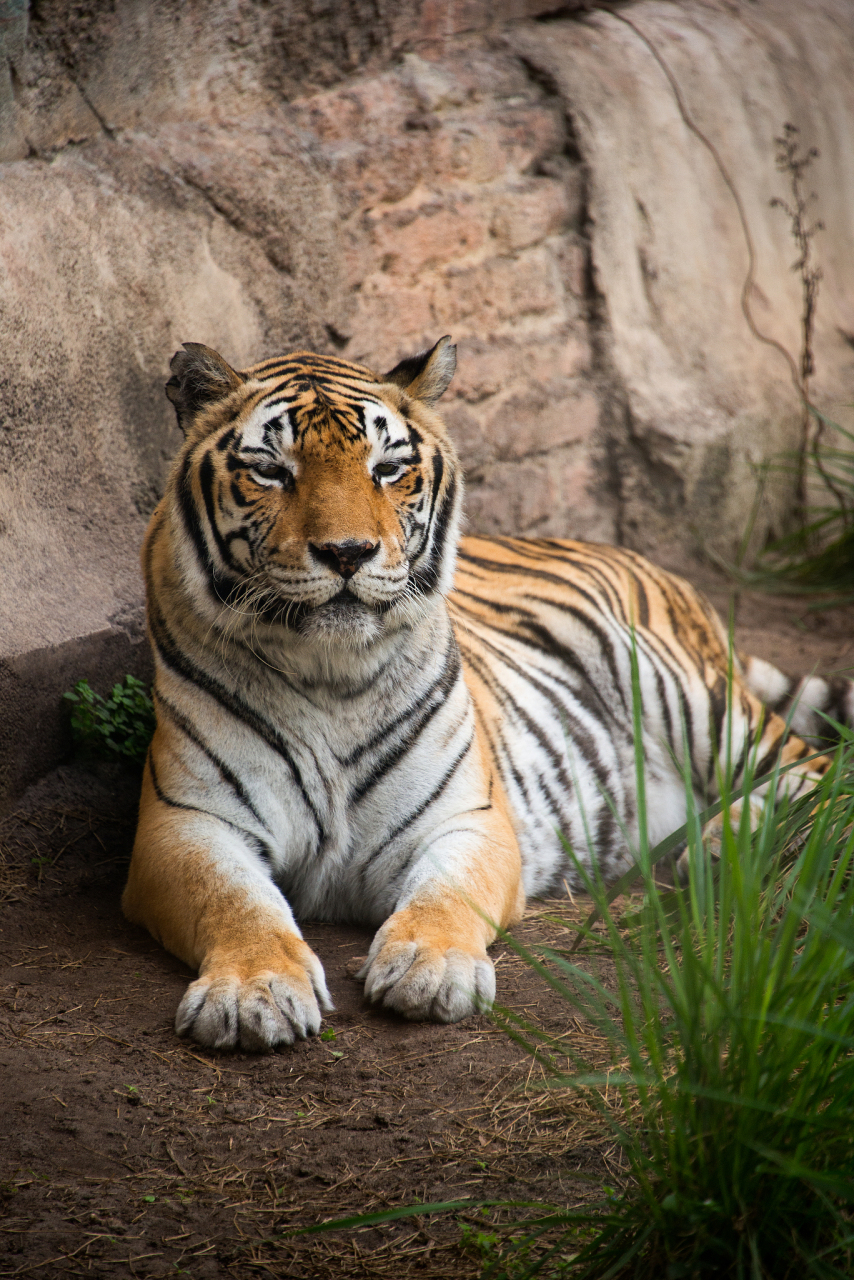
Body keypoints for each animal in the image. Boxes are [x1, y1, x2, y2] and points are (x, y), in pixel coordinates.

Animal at [121, 337, 854, 1049]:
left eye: (388, 470)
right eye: (272, 471)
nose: (348, 552)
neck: (328, 672)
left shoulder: (468, 817)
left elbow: (448, 894)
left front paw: (432, 966)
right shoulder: (187, 823)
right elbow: (235, 903)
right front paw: (254, 992)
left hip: (685, 691)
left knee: (816, 769)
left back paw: (734, 840)